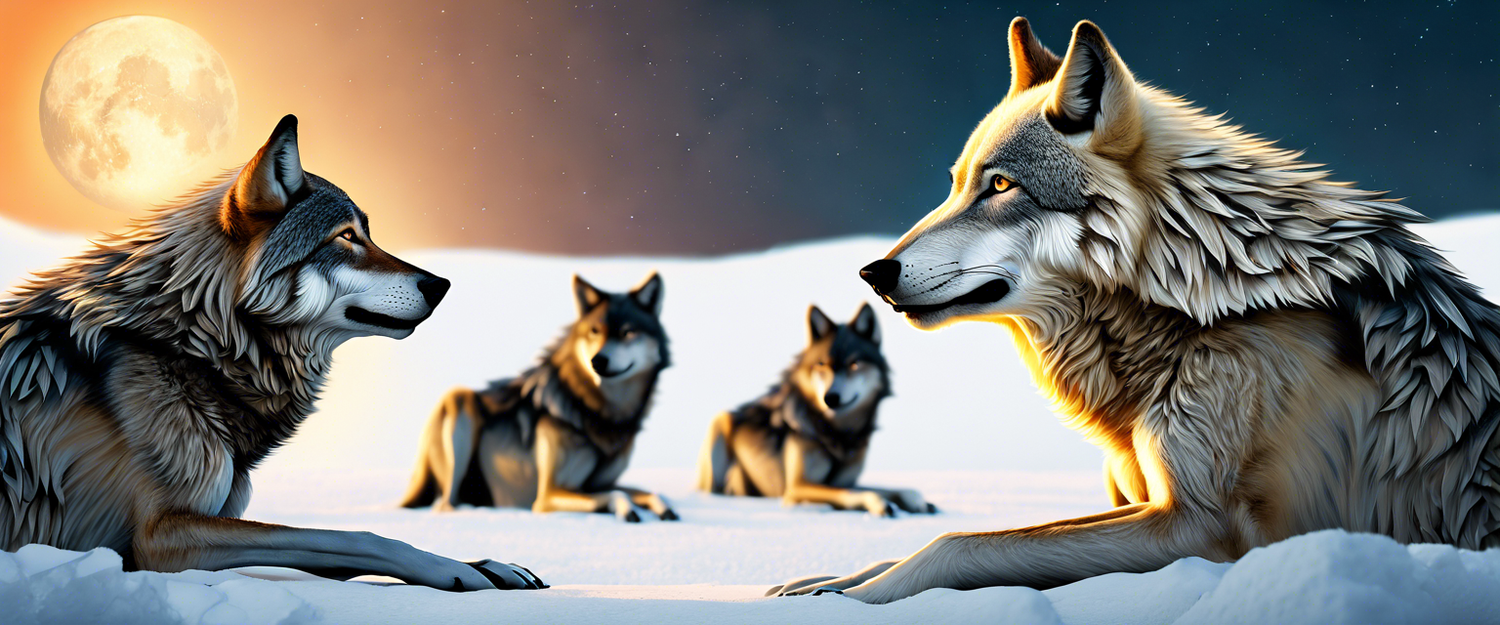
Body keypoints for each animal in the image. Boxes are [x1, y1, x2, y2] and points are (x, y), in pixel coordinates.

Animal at [0, 115, 543, 592]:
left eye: (367, 233)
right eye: (346, 236)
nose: (443, 284)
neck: (189, 347)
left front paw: (487, 563)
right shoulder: (159, 537)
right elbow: (359, 537)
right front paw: (458, 571)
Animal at [401, 273, 676, 522]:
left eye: (628, 332)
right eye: (594, 331)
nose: (597, 361)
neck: (601, 412)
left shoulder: (596, 484)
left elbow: (647, 491)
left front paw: (664, 507)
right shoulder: (548, 494)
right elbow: (618, 494)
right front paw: (628, 509)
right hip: (458, 399)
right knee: (445, 504)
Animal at [697, 303, 935, 518]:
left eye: (855, 364)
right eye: (821, 364)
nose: (830, 398)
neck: (839, 435)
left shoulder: (845, 480)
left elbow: (893, 488)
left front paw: (917, 501)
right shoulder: (797, 486)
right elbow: (852, 493)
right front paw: (880, 504)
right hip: (719, 423)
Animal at [770, 18, 1500, 604]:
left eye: (1000, 185)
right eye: (955, 185)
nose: (872, 272)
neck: (1198, 315)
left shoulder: (1204, 526)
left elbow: (957, 543)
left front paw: (854, 597)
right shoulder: (1149, 500)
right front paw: (825, 580)